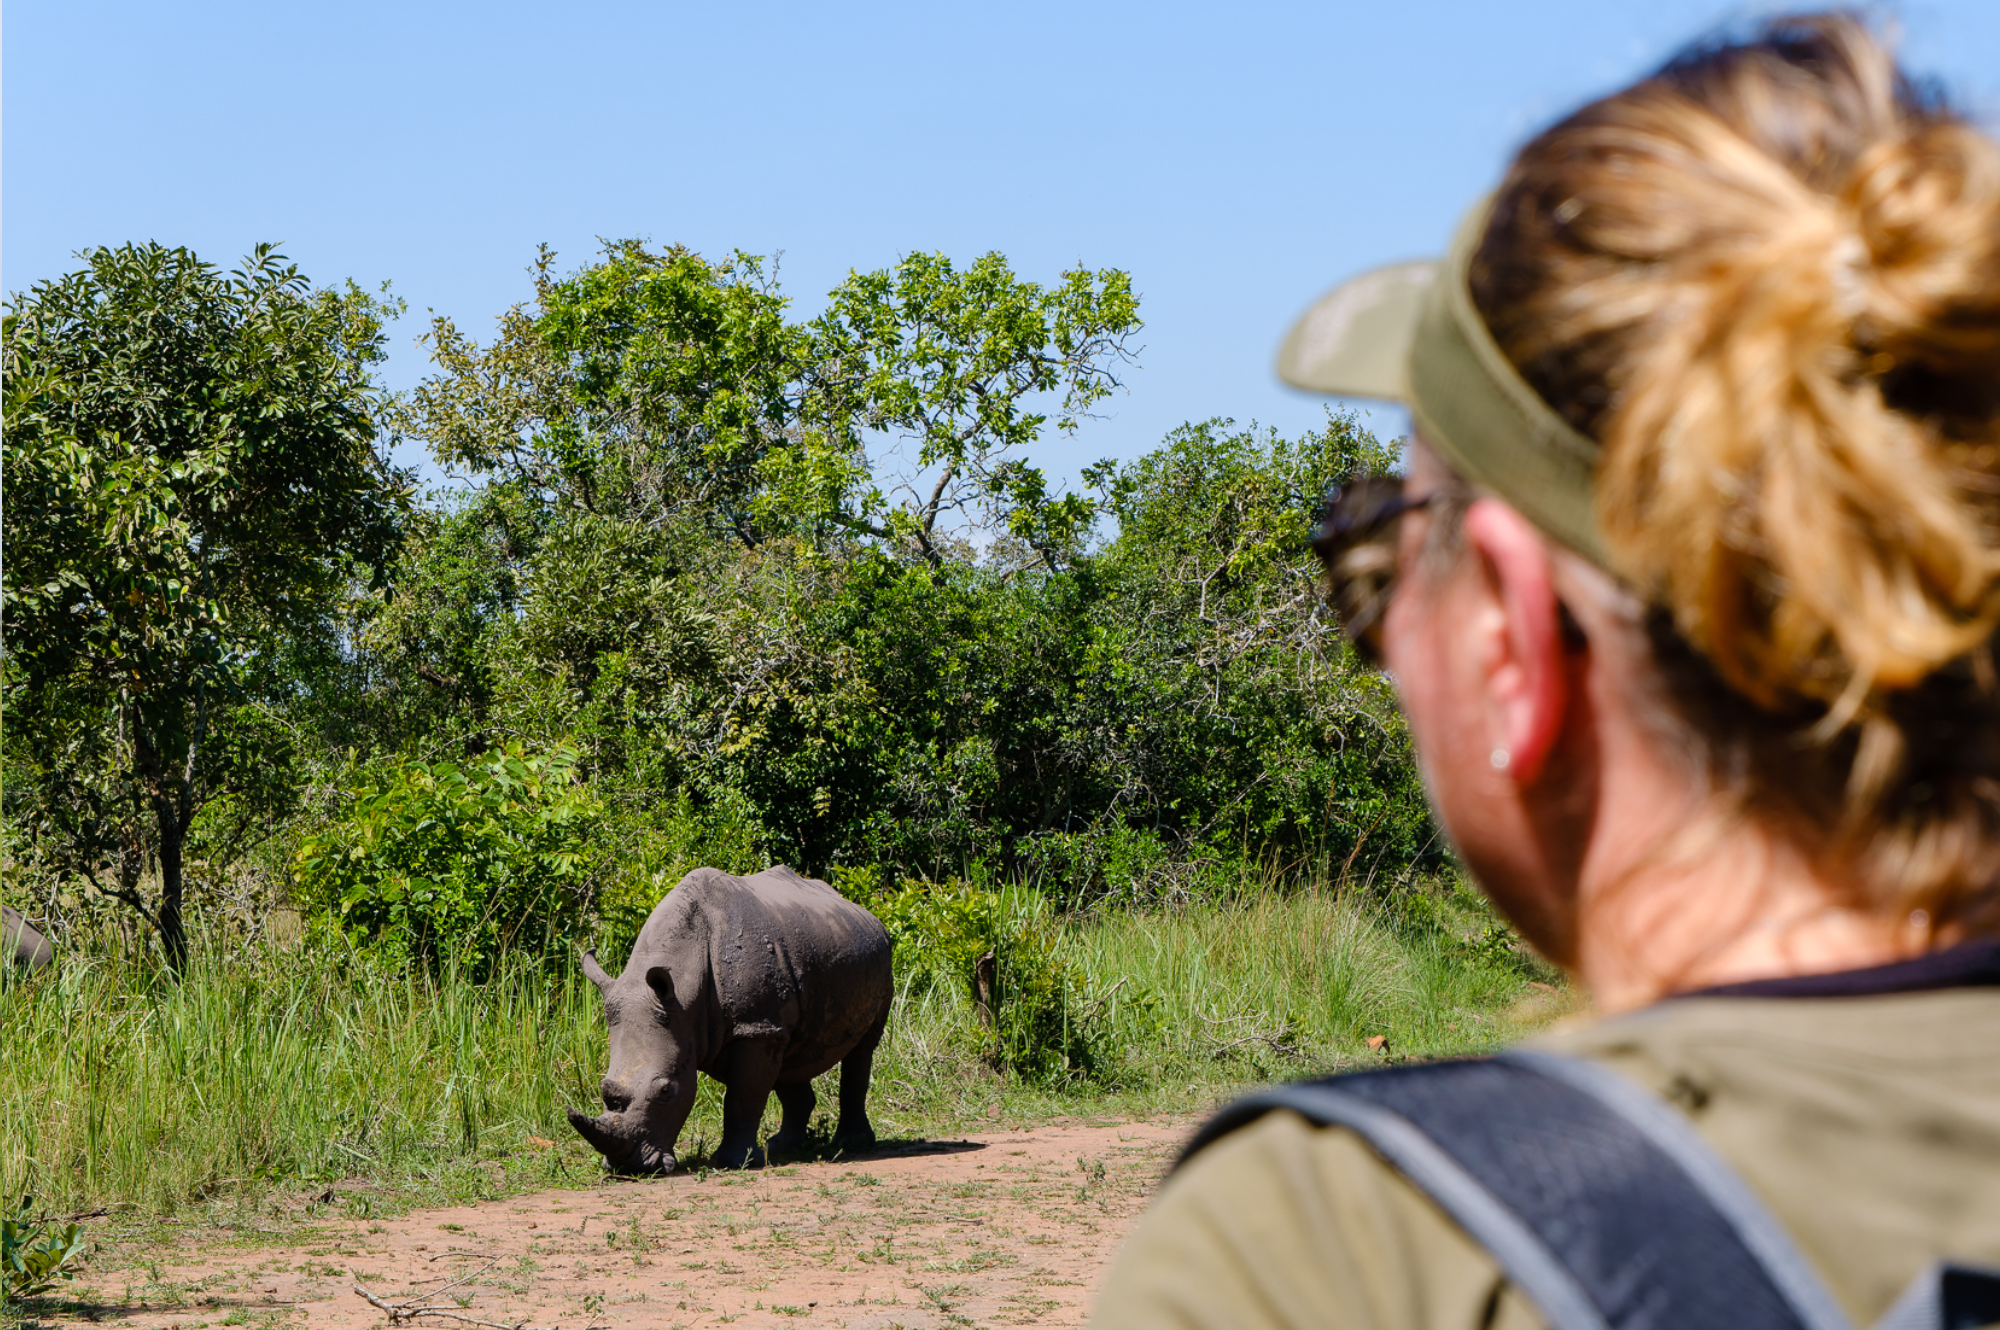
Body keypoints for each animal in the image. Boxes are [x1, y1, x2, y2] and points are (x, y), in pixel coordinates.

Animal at [568, 864, 893, 1174]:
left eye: (666, 1091)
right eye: (603, 1087)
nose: (629, 1167)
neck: (684, 993)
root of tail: (866, 913)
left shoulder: (754, 1025)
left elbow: (743, 1096)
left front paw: (733, 1162)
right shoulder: (755, 1024)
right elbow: (755, 1084)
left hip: (881, 956)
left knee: (862, 1050)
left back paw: (852, 1143)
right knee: (791, 1051)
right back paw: (781, 1147)